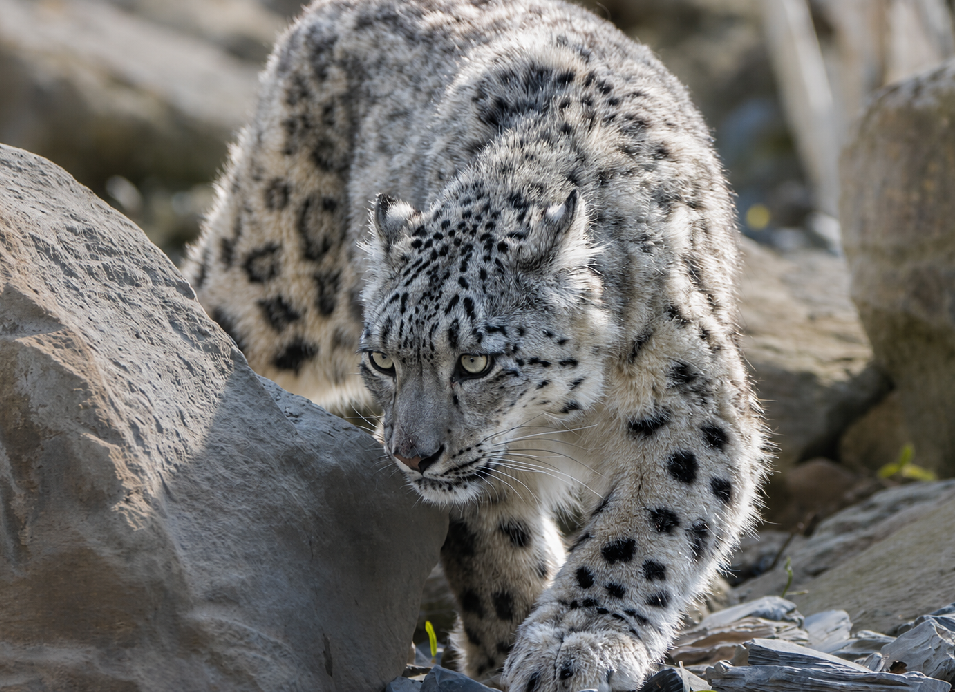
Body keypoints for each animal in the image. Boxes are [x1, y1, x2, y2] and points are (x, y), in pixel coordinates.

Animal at [181, 0, 769, 689]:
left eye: (475, 362)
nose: (411, 456)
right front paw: (507, 645)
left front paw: (575, 646)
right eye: (382, 359)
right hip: (277, 280)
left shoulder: (691, 405)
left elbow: (646, 528)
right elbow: (493, 544)